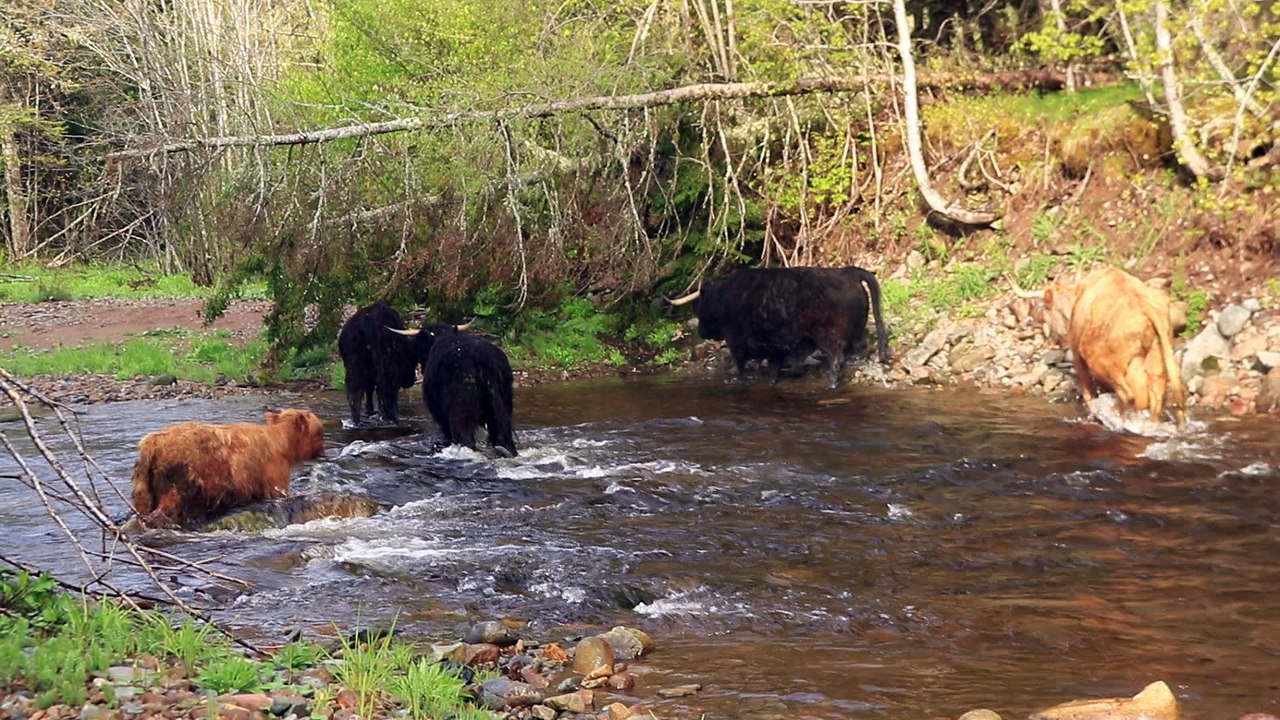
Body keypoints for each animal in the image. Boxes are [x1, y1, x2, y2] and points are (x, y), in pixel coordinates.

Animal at [130, 408, 326, 527]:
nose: (324, 452)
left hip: (144, 486)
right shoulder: (274, 480)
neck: (283, 442)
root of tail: (152, 442)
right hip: (178, 485)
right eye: (320, 433)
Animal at [389, 323, 518, 456]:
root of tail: (481, 356)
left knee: (466, 438)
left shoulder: (440, 414)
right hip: (503, 409)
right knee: (503, 437)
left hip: (461, 410)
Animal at [669, 265, 891, 388]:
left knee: (837, 360)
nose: (700, 332)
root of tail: (849, 272)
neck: (725, 300)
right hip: (856, 330)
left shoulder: (737, 341)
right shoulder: (775, 347)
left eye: (700, 311)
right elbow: (773, 370)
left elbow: (741, 367)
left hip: (830, 335)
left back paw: (830, 384)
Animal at [1018, 267, 1187, 425]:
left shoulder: (1077, 353)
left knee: (1128, 396)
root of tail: (1145, 308)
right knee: (1155, 402)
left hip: (1104, 364)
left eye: (1047, 309)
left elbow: (1087, 390)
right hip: (1156, 364)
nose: (1051, 340)